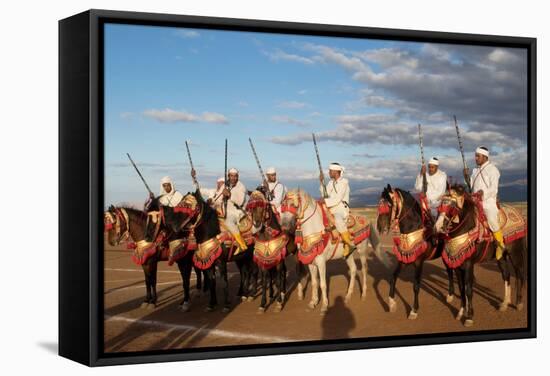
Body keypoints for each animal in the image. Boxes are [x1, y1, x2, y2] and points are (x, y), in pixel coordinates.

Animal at [380, 185, 458, 320]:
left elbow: (416, 286)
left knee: (451, 271)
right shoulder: (404, 258)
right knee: (449, 271)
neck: (413, 228)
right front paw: (392, 303)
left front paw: (414, 310)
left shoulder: (419, 262)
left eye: (389, 205)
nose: (380, 227)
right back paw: (450, 295)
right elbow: (393, 277)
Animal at [436, 185, 532, 326]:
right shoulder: (458, 265)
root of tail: (518, 214)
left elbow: (469, 290)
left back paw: (519, 303)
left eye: (452, 207)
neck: (466, 229)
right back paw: (504, 303)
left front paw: (469, 317)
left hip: (515, 253)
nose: (437, 227)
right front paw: (460, 313)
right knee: (506, 275)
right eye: (440, 205)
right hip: (501, 257)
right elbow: (462, 289)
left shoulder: (469, 265)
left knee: (519, 274)